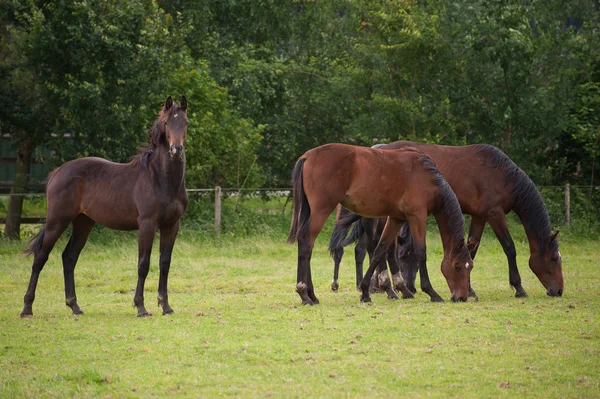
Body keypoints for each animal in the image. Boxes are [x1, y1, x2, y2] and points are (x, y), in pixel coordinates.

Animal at [21, 95, 189, 318]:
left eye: (186, 123)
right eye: (167, 123)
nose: (176, 150)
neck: (161, 179)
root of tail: (57, 172)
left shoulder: (171, 225)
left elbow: (165, 263)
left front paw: (166, 306)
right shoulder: (147, 225)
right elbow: (143, 264)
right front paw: (141, 307)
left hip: (83, 222)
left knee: (69, 257)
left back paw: (74, 306)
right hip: (57, 221)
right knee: (40, 258)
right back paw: (27, 308)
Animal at [286, 145, 474, 304]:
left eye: (470, 267)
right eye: (457, 267)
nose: (461, 297)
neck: (427, 177)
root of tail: (308, 156)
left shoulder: (397, 218)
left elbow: (380, 250)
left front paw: (366, 292)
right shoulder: (417, 216)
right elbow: (420, 252)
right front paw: (431, 292)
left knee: (308, 246)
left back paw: (311, 294)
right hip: (321, 210)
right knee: (306, 242)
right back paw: (304, 293)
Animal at [330, 142, 564, 298]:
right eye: (554, 259)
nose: (559, 290)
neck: (501, 175)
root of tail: (376, 148)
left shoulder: (479, 216)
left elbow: (472, 249)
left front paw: (469, 289)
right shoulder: (494, 214)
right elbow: (510, 248)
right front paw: (519, 288)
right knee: (380, 248)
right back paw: (388, 288)